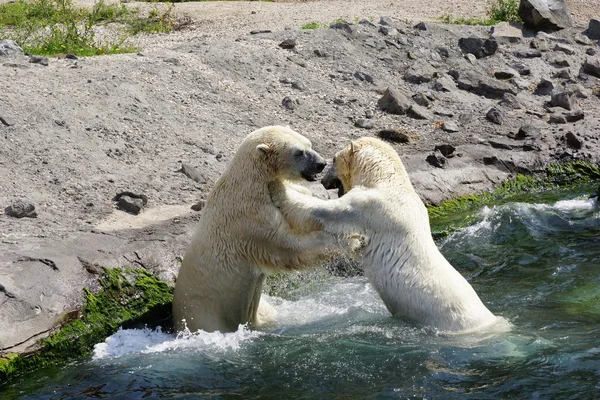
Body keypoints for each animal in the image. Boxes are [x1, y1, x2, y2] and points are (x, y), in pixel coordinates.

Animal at [173, 126, 342, 334]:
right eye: (298, 152)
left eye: (309, 144)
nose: (321, 164)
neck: (250, 180)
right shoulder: (251, 215)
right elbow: (285, 244)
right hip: (205, 316)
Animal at [270, 138, 508, 334]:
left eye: (334, 159)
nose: (322, 181)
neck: (386, 179)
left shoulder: (372, 207)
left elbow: (328, 212)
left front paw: (279, 190)